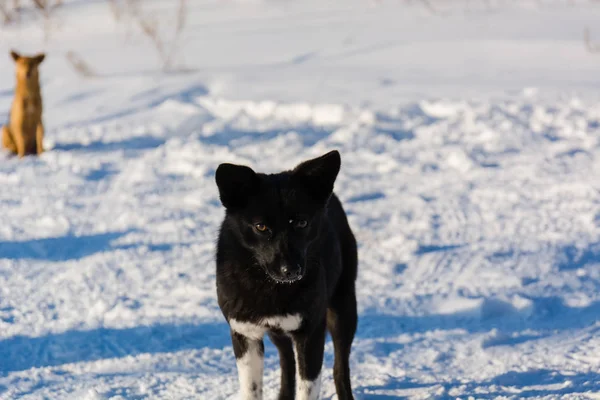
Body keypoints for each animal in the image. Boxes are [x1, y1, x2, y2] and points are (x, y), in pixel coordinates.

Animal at [214, 151, 356, 400]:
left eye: (301, 222)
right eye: (261, 227)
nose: (290, 270)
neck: (269, 286)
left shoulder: (310, 333)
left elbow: (307, 388)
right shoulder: (245, 333)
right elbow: (252, 389)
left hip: (343, 308)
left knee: (340, 366)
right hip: (278, 332)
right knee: (287, 359)